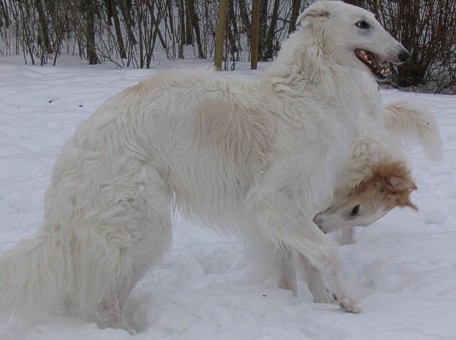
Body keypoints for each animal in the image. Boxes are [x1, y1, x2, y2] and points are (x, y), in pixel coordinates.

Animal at [0, 1, 410, 332]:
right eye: (362, 24)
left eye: (376, 20)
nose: (405, 54)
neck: (307, 94)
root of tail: (67, 164)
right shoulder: (270, 200)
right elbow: (327, 253)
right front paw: (348, 302)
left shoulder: (297, 206)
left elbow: (301, 267)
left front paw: (319, 304)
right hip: (144, 228)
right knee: (104, 303)